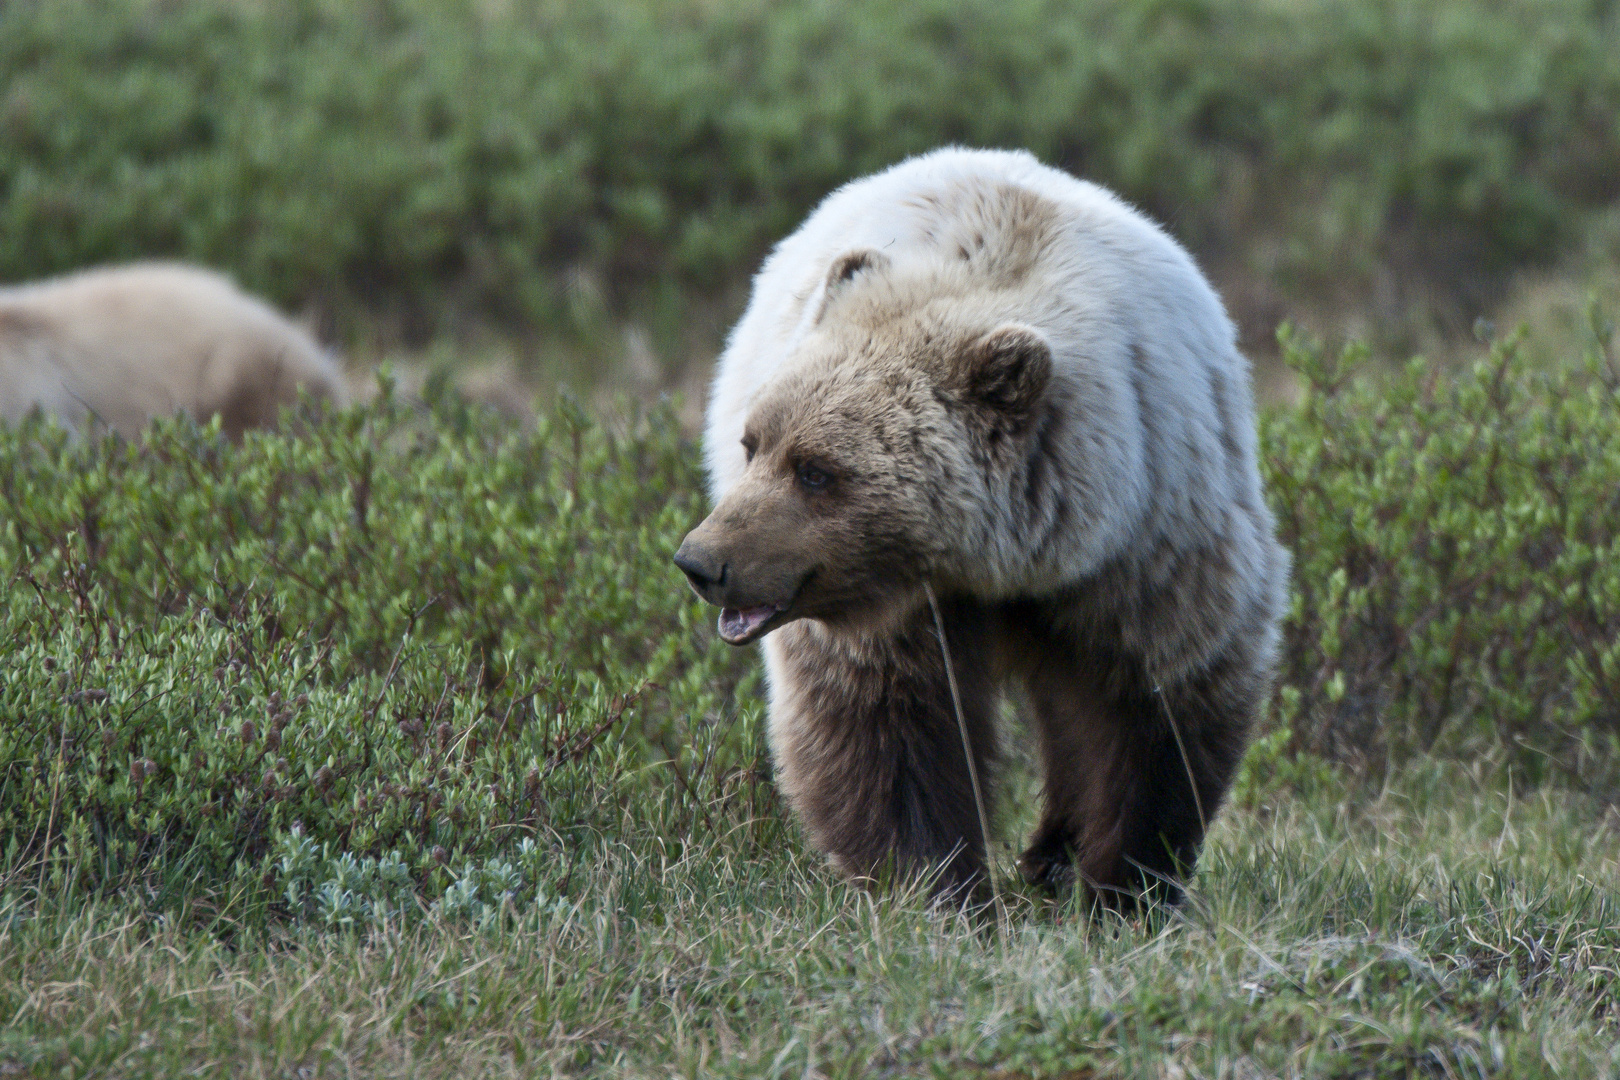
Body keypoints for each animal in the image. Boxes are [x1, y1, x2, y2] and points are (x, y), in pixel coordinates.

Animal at [673, 143, 1289, 906]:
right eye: (752, 443)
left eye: (816, 470)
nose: (702, 560)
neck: (1016, 553)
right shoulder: (902, 606)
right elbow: (889, 731)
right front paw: (936, 888)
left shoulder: (1150, 545)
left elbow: (1154, 712)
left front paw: (1120, 888)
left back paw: (1053, 855)